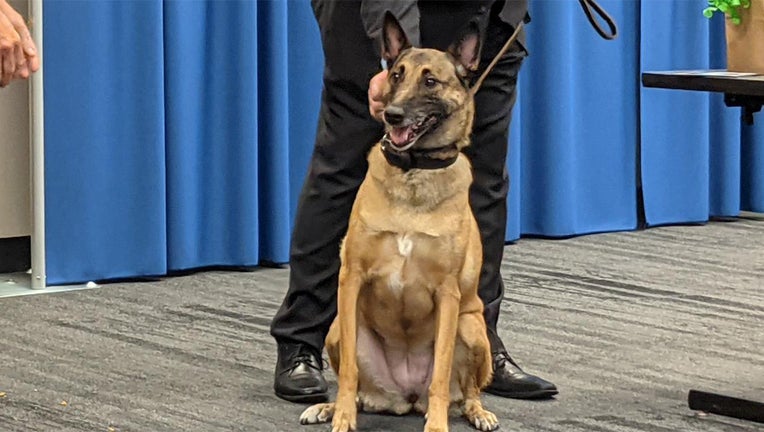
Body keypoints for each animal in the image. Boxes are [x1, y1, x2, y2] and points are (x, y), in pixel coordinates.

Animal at [296, 12, 498, 432]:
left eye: (430, 81)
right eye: (395, 75)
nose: (393, 115)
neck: (413, 173)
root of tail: (405, 398)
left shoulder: (449, 295)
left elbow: (440, 373)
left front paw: (437, 425)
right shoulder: (351, 278)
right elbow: (349, 372)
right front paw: (342, 417)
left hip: (472, 327)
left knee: (468, 389)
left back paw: (477, 412)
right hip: (338, 327)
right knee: (353, 380)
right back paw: (328, 407)